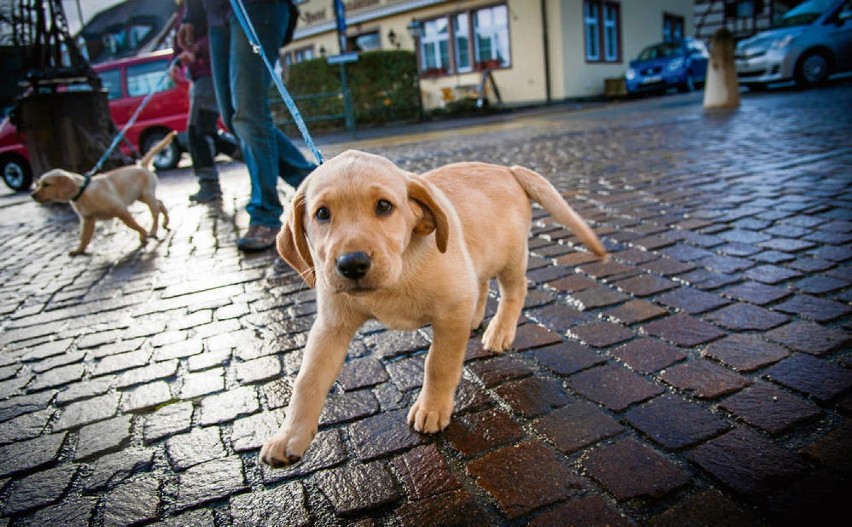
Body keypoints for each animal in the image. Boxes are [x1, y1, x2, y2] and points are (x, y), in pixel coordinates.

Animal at [31, 132, 175, 256]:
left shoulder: (120, 209)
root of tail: (141, 165)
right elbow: (84, 237)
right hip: (140, 196)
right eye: (38, 184)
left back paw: (153, 230)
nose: (32, 195)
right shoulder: (87, 219)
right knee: (160, 203)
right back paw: (165, 222)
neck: (82, 191)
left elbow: (133, 224)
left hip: (146, 194)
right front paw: (79, 250)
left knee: (155, 211)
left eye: (46, 184)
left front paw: (143, 234)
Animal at [260, 151, 604, 468]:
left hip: (510, 257)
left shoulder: (452, 308)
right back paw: (476, 319)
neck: (396, 276)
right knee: (481, 285)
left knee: (515, 291)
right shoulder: (331, 325)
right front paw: (289, 436)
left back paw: (500, 332)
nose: (352, 264)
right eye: (322, 213)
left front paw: (431, 408)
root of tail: (507, 169)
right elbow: (307, 379)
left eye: (384, 206)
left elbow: (438, 364)